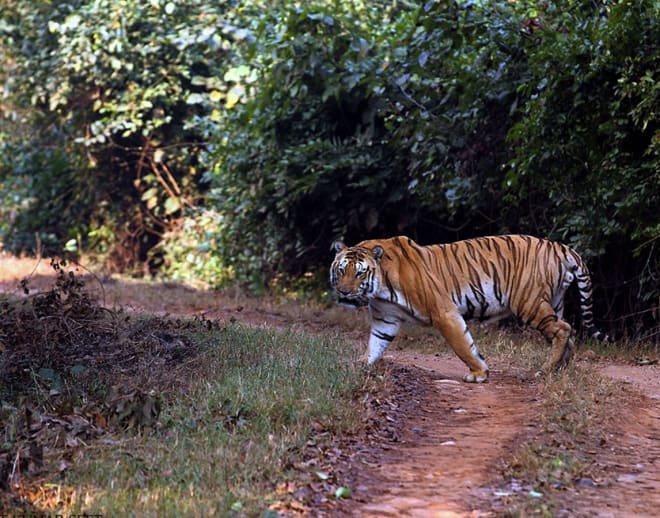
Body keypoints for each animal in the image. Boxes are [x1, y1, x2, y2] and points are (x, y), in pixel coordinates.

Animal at [330, 236, 608, 382]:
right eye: (341, 270)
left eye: (359, 273)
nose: (343, 292)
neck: (380, 287)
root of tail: (560, 246)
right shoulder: (385, 319)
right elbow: (375, 345)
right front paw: (359, 365)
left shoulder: (444, 312)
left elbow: (463, 345)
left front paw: (479, 373)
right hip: (553, 302)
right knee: (566, 332)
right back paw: (560, 369)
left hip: (528, 303)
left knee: (564, 329)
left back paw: (545, 370)